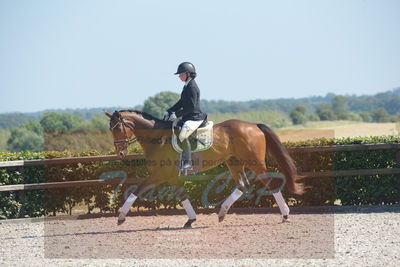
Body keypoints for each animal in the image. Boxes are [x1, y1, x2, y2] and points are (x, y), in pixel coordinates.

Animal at [104, 109, 304, 228]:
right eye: (110, 129)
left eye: (118, 129)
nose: (120, 153)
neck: (158, 138)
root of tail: (254, 126)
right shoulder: (171, 176)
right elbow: (182, 194)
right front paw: (191, 219)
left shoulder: (160, 174)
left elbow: (136, 190)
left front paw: (121, 217)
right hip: (234, 162)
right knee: (243, 185)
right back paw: (222, 213)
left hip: (255, 162)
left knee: (271, 184)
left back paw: (285, 215)